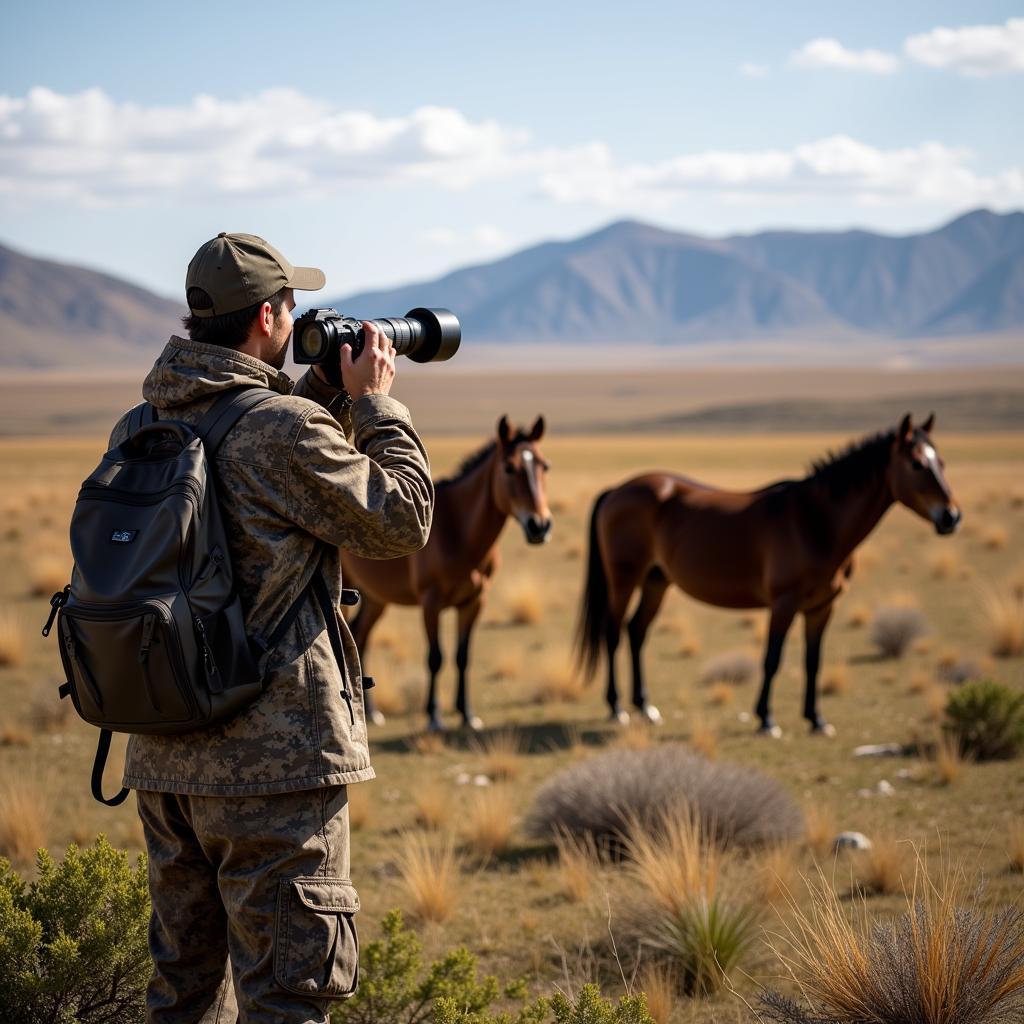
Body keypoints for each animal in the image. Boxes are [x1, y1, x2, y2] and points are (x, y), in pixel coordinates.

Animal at [344, 411, 552, 733]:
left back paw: (373, 712)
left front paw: (466, 714)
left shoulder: (474, 602)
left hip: (375, 598)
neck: (459, 531)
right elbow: (436, 656)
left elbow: (462, 656)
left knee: (360, 637)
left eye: (544, 466)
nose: (539, 525)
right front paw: (434, 715)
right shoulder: (432, 602)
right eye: (509, 467)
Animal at [577, 415, 958, 737]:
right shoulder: (784, 604)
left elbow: (813, 661)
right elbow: (772, 659)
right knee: (613, 633)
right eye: (917, 464)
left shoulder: (822, 607)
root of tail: (617, 490)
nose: (951, 516)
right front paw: (766, 719)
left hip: (657, 581)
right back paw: (616, 707)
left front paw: (816, 719)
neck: (815, 522)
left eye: (941, 463)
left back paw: (646, 706)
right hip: (624, 580)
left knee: (636, 632)